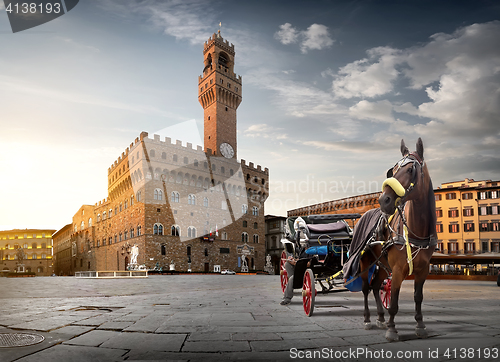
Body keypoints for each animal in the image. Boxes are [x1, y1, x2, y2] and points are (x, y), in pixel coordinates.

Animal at [360, 137, 438, 340]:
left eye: (410, 170)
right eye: (393, 170)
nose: (383, 200)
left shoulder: (423, 270)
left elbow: (418, 297)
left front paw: (420, 324)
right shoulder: (397, 269)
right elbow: (394, 300)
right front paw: (392, 328)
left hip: (382, 265)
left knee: (375, 286)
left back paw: (380, 317)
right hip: (365, 262)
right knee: (365, 287)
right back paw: (368, 319)